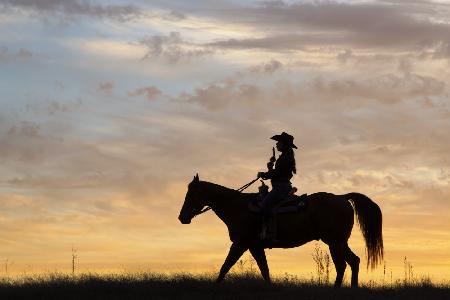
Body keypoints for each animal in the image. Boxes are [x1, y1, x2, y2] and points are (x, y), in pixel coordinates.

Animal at [178, 175, 382, 288]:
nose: (182, 217)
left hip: (334, 243)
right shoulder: (254, 246)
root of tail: (342, 197)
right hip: (340, 242)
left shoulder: (241, 243)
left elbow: (225, 266)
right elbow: (264, 269)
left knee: (342, 266)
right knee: (354, 261)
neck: (238, 207)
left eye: (191, 194)